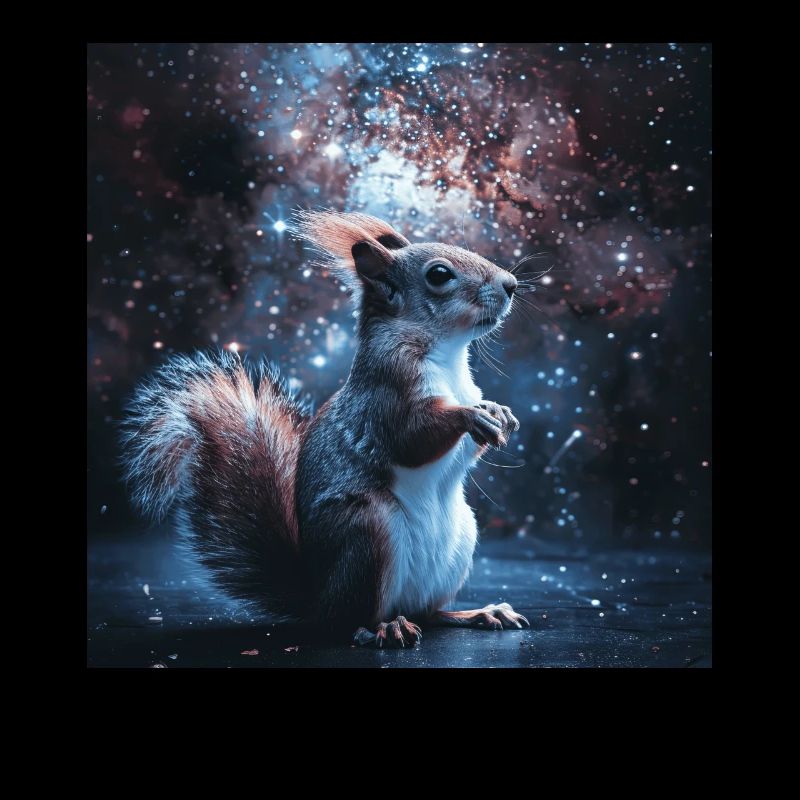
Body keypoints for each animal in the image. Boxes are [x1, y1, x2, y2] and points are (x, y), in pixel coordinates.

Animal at [121, 210, 530, 647]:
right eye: (439, 275)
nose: (510, 284)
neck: (446, 355)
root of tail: (318, 599)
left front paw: (497, 411)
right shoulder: (385, 394)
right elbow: (411, 438)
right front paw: (470, 416)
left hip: (459, 539)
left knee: (429, 612)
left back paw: (479, 612)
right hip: (368, 533)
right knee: (350, 620)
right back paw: (382, 628)